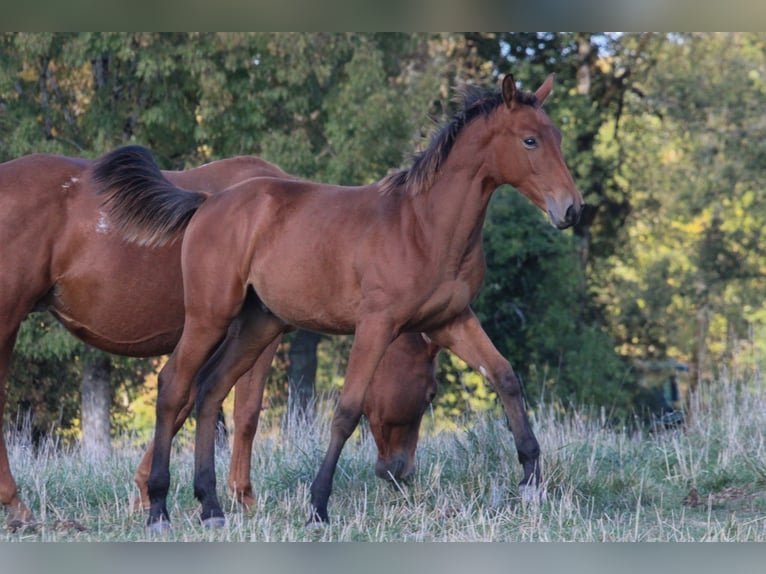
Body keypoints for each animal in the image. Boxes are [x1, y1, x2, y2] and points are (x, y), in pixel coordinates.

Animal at [0, 148, 440, 526]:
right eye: (430, 393)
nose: (401, 471)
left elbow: (191, 399)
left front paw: (150, 491)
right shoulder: (255, 335)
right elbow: (242, 413)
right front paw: (238, 495)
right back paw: (16, 503)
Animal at [97, 72, 583, 530]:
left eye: (558, 136)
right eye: (530, 140)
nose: (572, 209)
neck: (423, 226)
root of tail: (206, 201)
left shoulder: (451, 319)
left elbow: (504, 376)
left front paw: (531, 483)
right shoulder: (376, 324)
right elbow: (347, 411)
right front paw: (317, 506)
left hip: (259, 324)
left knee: (211, 388)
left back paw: (212, 508)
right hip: (209, 316)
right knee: (173, 385)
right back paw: (158, 508)